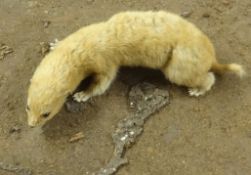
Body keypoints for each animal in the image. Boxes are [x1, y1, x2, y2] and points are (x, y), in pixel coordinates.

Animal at [26, 11, 244, 127]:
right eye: (28, 106)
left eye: (46, 113)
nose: (31, 124)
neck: (89, 40)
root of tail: (211, 55)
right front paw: (53, 44)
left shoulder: (105, 62)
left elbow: (104, 82)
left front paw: (82, 95)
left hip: (177, 67)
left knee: (209, 78)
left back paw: (197, 90)